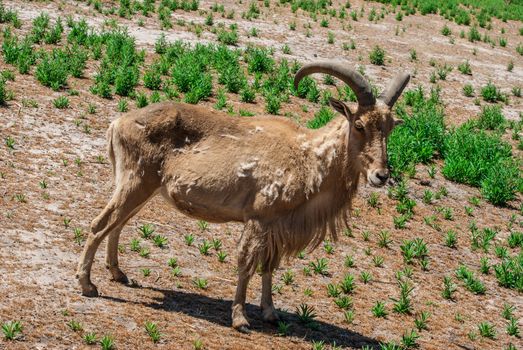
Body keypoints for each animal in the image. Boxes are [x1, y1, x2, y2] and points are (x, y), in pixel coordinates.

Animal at [77, 61, 410, 332]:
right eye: (359, 125)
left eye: (390, 127)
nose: (381, 175)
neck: (308, 157)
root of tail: (118, 123)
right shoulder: (259, 218)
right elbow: (246, 262)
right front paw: (240, 319)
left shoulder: (277, 225)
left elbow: (269, 266)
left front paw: (271, 314)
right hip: (135, 182)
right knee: (100, 223)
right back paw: (87, 284)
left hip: (142, 188)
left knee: (117, 224)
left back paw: (118, 274)